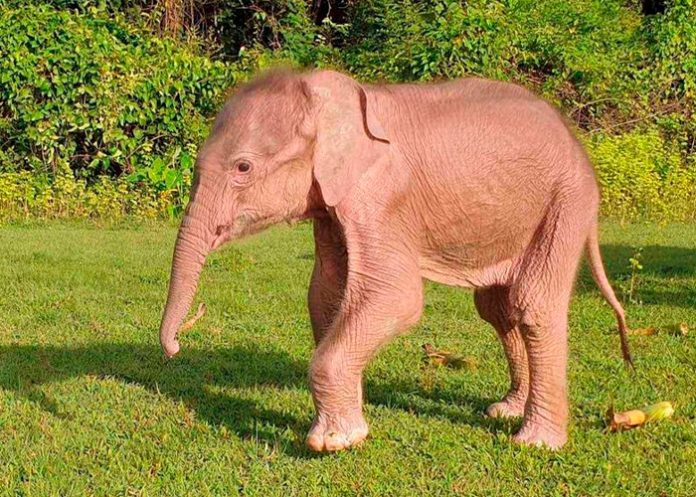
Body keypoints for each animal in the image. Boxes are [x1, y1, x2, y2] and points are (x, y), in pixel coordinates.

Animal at [158, 69, 632, 452]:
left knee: (534, 304)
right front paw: (346, 421)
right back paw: (506, 410)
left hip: (567, 200)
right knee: (497, 307)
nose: (176, 347)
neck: (330, 94)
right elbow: (326, 294)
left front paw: (334, 442)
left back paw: (536, 442)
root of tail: (578, 143)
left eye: (243, 168)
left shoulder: (382, 197)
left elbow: (395, 296)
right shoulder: (333, 204)